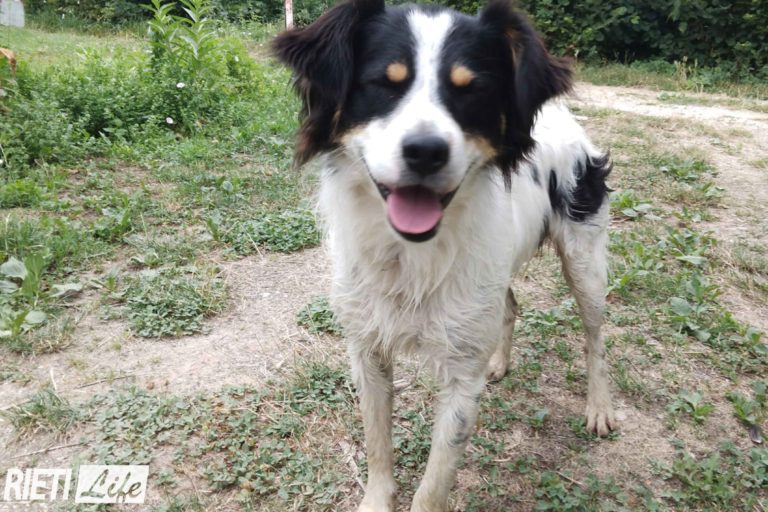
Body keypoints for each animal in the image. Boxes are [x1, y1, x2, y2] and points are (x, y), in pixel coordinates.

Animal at [274, 0, 615, 510]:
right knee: (511, 305)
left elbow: (434, 481)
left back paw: (599, 406)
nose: (424, 151)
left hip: (585, 263)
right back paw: (500, 362)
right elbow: (377, 446)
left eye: (471, 90)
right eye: (384, 83)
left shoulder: (461, 381)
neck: (411, 255)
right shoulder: (366, 349)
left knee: (595, 338)